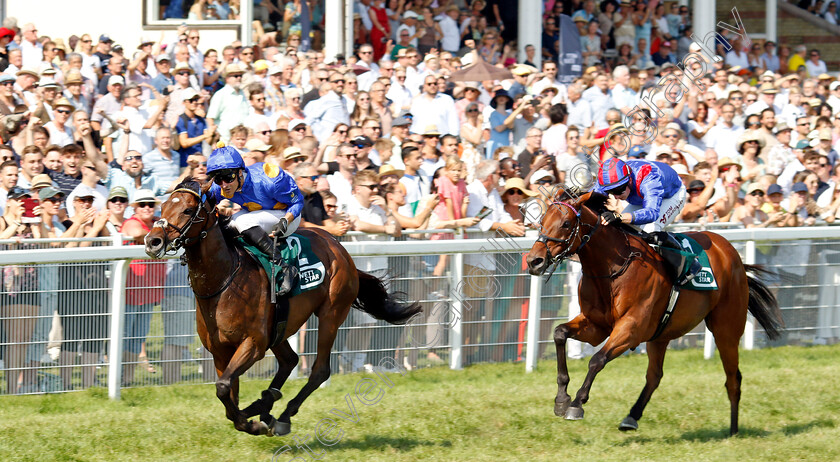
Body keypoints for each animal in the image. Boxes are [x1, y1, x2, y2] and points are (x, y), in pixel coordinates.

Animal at [144, 181, 424, 436]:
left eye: (188, 210)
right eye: (163, 206)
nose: (152, 241)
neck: (224, 282)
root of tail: (340, 249)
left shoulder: (253, 344)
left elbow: (223, 388)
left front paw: (253, 424)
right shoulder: (220, 352)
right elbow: (228, 396)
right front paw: (252, 417)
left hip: (331, 313)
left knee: (319, 370)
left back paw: (282, 416)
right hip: (279, 327)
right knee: (290, 361)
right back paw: (266, 403)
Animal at [520, 187, 784, 434]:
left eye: (565, 224)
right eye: (541, 221)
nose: (534, 261)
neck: (613, 268)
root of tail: (731, 252)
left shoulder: (631, 328)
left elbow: (596, 360)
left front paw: (576, 404)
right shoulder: (596, 325)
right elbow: (559, 333)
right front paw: (561, 399)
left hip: (726, 329)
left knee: (733, 378)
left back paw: (733, 430)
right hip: (661, 334)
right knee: (655, 375)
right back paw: (631, 417)